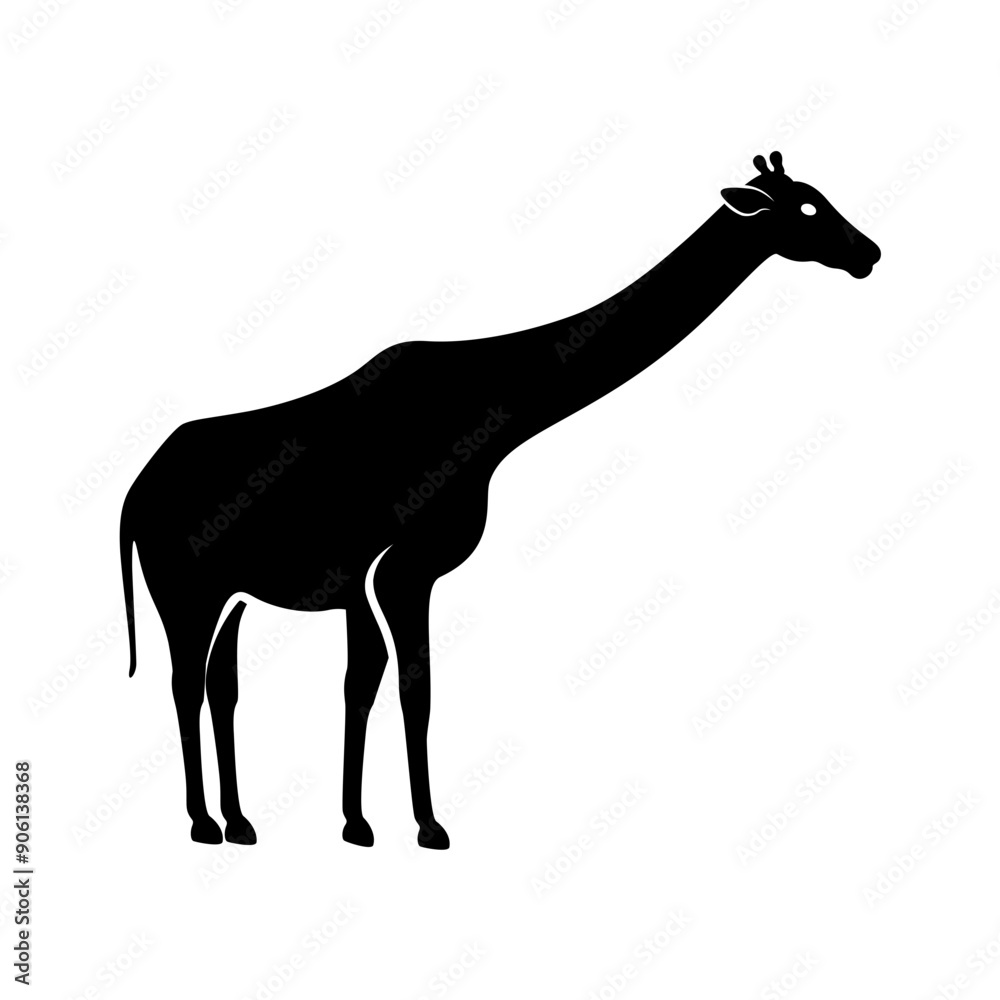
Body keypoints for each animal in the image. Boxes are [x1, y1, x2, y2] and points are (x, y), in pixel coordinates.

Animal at [119, 151, 880, 849]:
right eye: (805, 207)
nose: (869, 253)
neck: (494, 411)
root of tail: (133, 492)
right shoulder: (400, 569)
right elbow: (408, 687)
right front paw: (414, 825)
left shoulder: (370, 580)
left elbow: (374, 686)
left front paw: (369, 821)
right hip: (183, 588)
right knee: (184, 683)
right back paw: (201, 823)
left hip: (231, 595)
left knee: (220, 686)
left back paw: (239, 822)